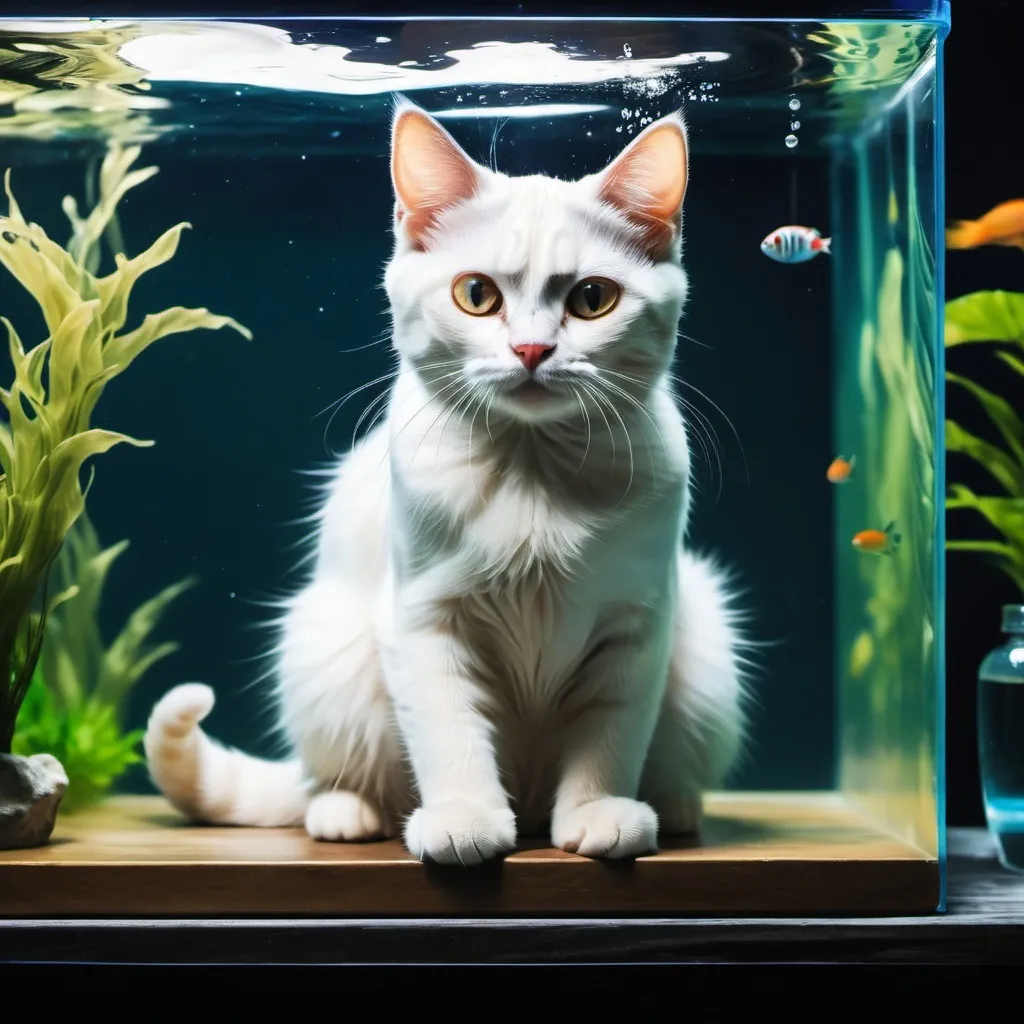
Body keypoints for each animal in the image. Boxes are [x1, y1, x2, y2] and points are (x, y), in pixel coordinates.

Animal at [144, 99, 753, 864]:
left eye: (592, 299)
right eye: (476, 295)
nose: (531, 349)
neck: (532, 478)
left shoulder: (637, 627)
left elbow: (609, 735)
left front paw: (599, 813)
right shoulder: (424, 621)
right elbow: (448, 732)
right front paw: (465, 818)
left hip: (706, 648)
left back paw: (670, 808)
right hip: (326, 646)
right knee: (329, 780)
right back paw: (348, 811)